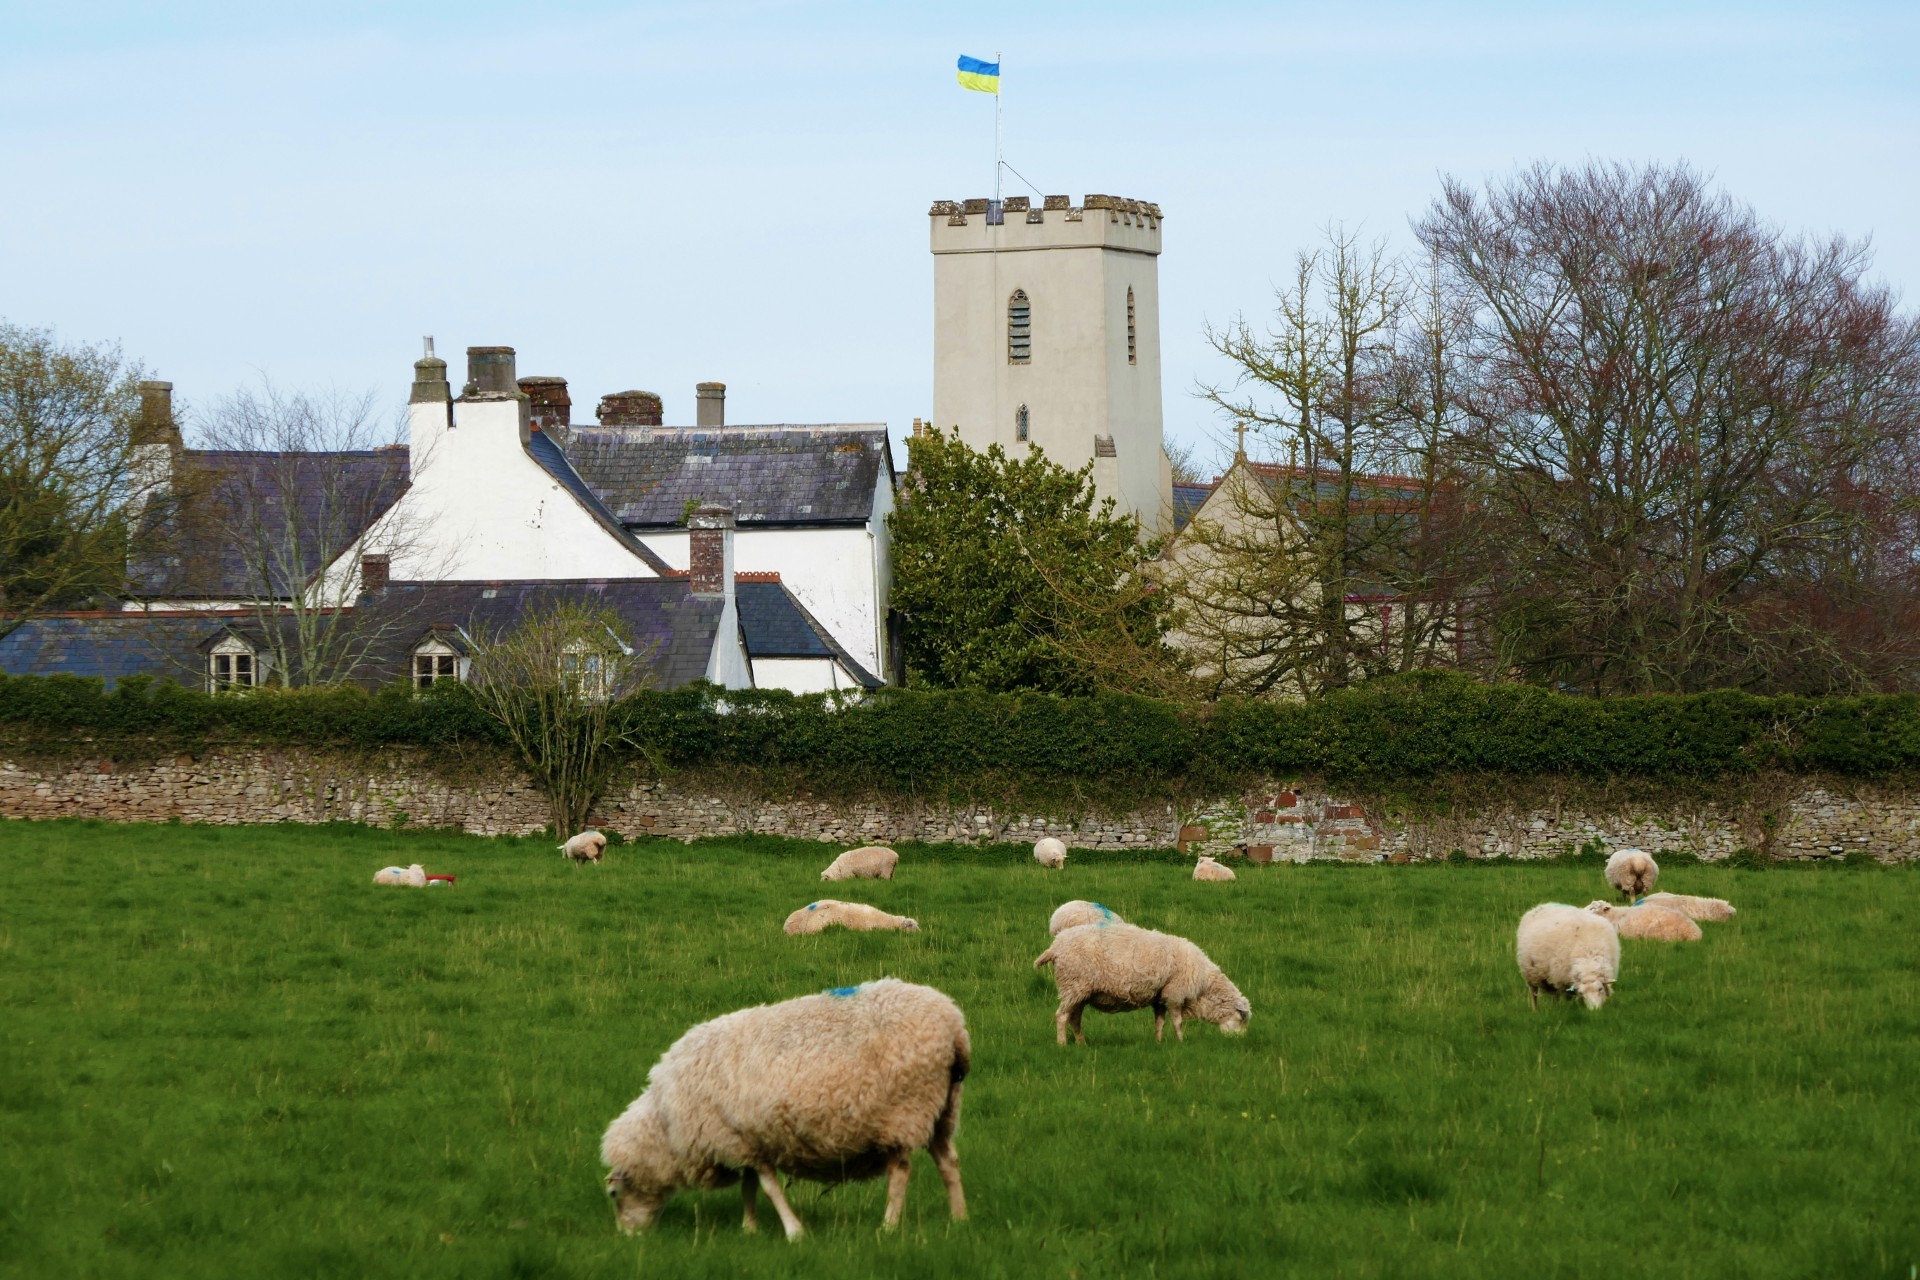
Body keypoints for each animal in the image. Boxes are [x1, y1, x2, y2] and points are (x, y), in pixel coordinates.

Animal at [601, 978, 969, 1240]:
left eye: (614, 1193)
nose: (628, 1238)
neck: (665, 1126)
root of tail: (955, 1026)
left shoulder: (739, 1141)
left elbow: (768, 1187)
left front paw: (793, 1231)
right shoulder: (746, 1141)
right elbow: (750, 1187)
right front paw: (749, 1229)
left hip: (905, 1112)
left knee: (901, 1171)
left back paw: (889, 1225)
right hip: (943, 1110)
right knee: (948, 1163)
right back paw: (959, 1218)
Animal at [1033, 922, 1250, 1045]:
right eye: (1241, 1019)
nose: (1239, 1042)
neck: (1204, 986)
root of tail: (1056, 946)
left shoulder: (1160, 997)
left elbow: (1160, 1022)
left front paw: (1158, 1042)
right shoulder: (1175, 994)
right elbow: (1177, 1022)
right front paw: (1181, 1042)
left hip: (1081, 991)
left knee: (1074, 1019)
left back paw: (1081, 1043)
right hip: (1073, 985)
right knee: (1062, 1016)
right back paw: (1062, 1044)